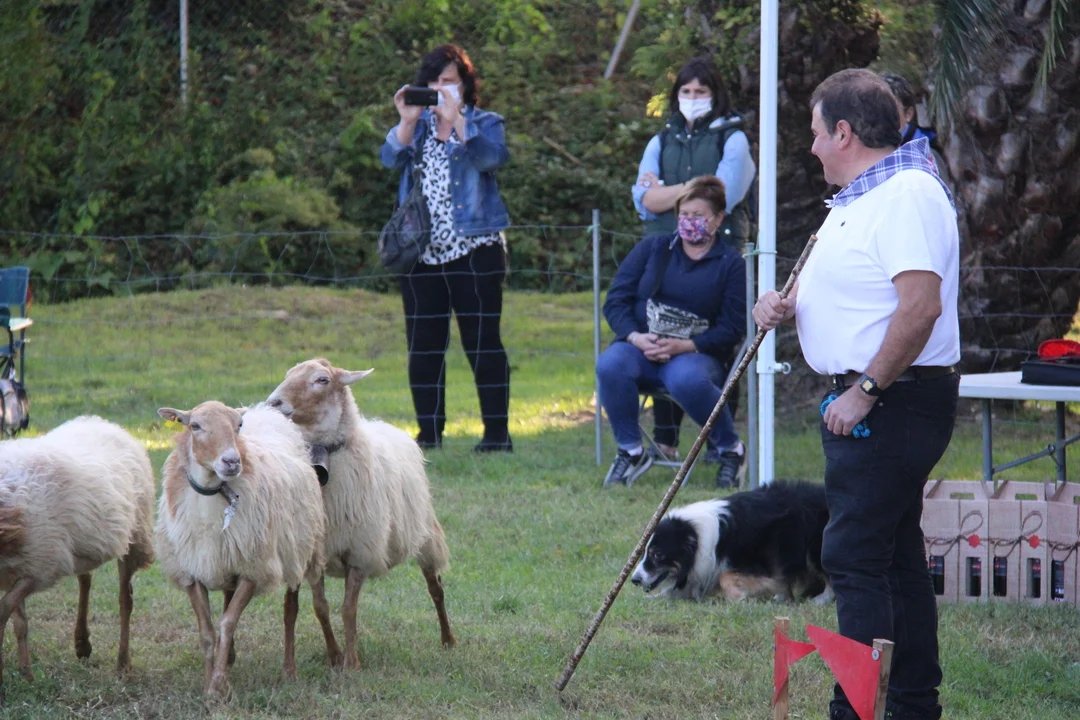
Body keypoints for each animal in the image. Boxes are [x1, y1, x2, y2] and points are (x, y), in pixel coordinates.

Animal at [0, 416, 155, 702]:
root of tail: (104, 423)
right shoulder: (17, 568)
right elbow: (20, 623)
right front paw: (27, 674)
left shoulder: (41, 565)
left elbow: (5, 612)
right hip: (85, 544)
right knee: (86, 579)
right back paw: (82, 643)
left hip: (134, 535)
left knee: (125, 600)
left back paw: (122, 664)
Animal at [154, 401, 329, 700]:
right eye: (194, 426)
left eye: (238, 426)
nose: (232, 462)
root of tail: (267, 415)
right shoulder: (192, 572)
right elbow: (207, 631)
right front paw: (209, 683)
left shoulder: (253, 568)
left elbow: (227, 623)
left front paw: (218, 687)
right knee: (228, 596)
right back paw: (231, 658)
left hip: (300, 549)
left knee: (292, 609)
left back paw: (293, 668)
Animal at [266, 358, 454, 670]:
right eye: (288, 374)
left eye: (322, 380)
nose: (273, 403)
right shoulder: (312, 554)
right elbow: (318, 607)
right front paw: (332, 656)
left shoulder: (358, 551)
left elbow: (348, 610)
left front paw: (352, 663)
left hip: (425, 533)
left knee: (436, 588)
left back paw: (448, 639)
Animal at [630, 481, 832, 603]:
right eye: (644, 553)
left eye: (658, 555)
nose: (634, 580)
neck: (698, 537)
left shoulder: (761, 564)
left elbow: (725, 577)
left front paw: (739, 598)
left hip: (815, 548)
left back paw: (821, 600)